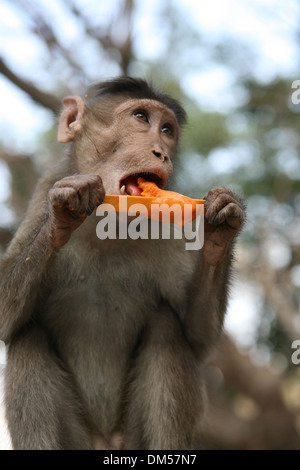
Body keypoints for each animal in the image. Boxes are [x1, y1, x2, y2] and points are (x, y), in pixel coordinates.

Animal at [0, 77, 245, 452]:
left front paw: (220, 228)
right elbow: (3, 314)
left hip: (131, 437)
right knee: (25, 335)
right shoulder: (41, 194)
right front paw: (64, 210)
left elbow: (198, 336)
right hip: (79, 439)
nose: (161, 152)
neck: (109, 223)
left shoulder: (167, 229)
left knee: (166, 326)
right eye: (140, 117)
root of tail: (106, 442)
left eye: (167, 130)